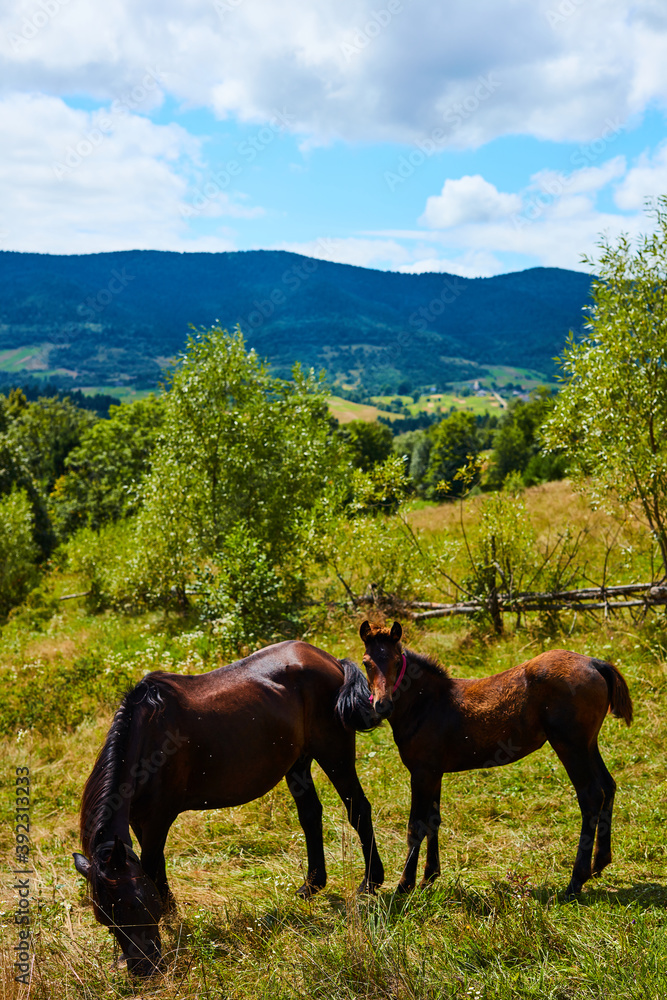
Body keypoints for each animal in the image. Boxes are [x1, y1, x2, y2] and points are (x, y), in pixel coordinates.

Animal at [72, 640, 386, 976]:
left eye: (133, 905)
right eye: (104, 919)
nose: (143, 970)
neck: (148, 739)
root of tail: (330, 660)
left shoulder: (158, 821)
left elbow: (153, 869)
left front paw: (170, 919)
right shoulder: (139, 822)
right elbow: (156, 869)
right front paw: (170, 915)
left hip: (334, 752)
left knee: (358, 809)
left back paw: (370, 882)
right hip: (297, 762)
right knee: (311, 816)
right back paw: (311, 886)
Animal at [336, 624, 636, 900]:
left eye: (397, 660)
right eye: (367, 661)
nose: (382, 705)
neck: (427, 704)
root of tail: (595, 662)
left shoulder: (421, 772)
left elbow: (416, 826)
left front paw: (404, 884)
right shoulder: (434, 772)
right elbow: (433, 820)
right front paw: (429, 877)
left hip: (571, 746)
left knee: (591, 796)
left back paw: (575, 881)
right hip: (588, 744)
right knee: (608, 786)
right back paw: (600, 863)